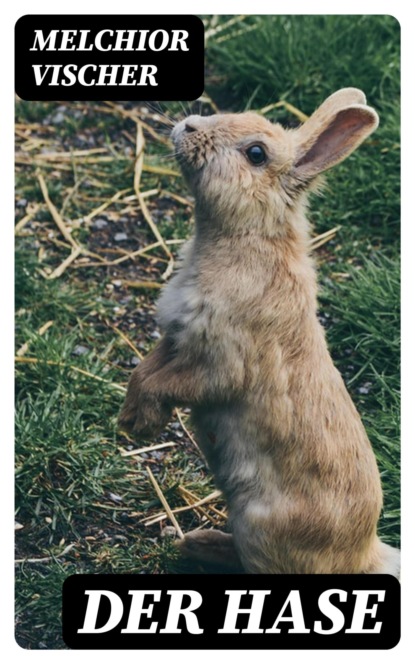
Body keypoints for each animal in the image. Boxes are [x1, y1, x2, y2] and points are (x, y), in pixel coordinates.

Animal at [119, 88, 400, 577]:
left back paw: (198, 544)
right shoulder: (175, 339)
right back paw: (194, 540)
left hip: (258, 527)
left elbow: (171, 384)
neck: (246, 237)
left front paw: (141, 424)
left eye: (255, 154)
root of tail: (362, 557)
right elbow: (145, 371)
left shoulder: (220, 364)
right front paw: (129, 418)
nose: (188, 126)